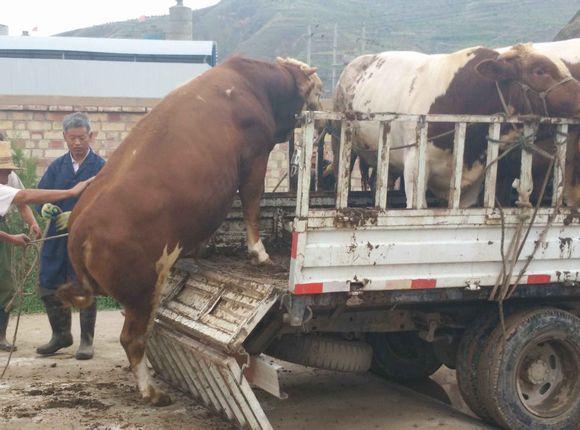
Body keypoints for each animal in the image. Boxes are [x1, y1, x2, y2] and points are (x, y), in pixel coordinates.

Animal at [55, 57, 322, 406]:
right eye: (317, 87)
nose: (322, 103)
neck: (252, 83)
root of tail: (80, 227)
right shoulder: (254, 156)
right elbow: (251, 204)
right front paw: (260, 254)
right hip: (143, 289)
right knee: (133, 339)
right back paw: (151, 392)